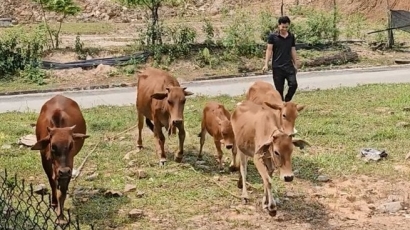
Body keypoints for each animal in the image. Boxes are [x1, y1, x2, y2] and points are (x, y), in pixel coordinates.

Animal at [30, 94, 90, 225]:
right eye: (53, 146)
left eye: (71, 145)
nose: (63, 171)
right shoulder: (45, 160)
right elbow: (52, 181)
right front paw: (54, 203)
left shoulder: (69, 166)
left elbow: (62, 191)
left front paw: (61, 217)